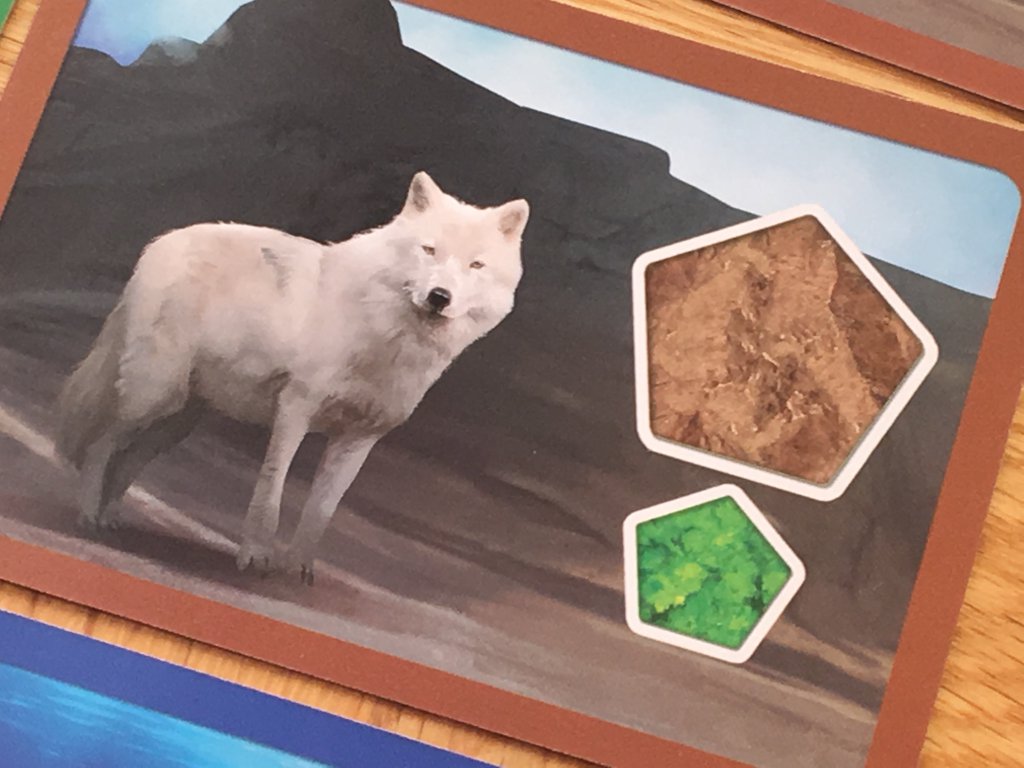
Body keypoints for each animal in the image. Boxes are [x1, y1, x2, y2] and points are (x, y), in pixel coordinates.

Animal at [56, 172, 529, 584]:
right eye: (429, 251)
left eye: (476, 265)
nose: (439, 297)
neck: (386, 337)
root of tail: (163, 241)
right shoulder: (295, 410)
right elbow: (272, 490)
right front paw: (256, 557)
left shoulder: (359, 440)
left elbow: (322, 510)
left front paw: (300, 569)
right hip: (155, 395)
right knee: (102, 446)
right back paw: (88, 515)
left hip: (176, 422)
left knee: (126, 461)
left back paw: (112, 517)